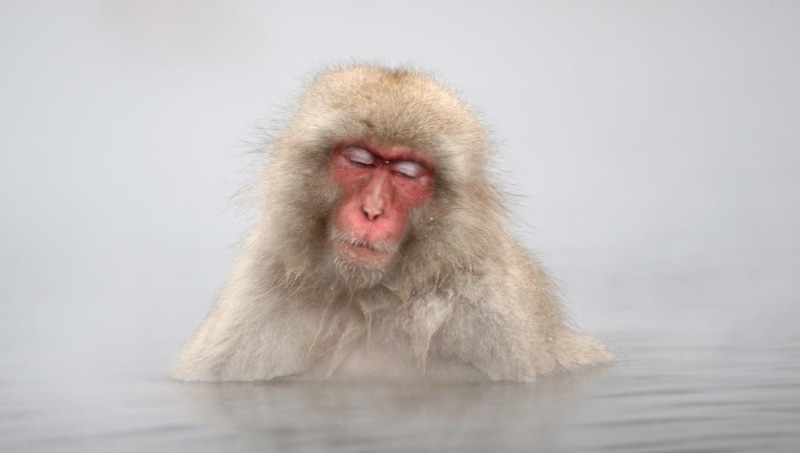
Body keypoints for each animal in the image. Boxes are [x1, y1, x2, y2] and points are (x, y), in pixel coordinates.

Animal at [172, 64, 613, 382]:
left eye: (406, 172)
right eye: (360, 159)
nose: (372, 211)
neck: (365, 300)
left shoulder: (498, 316)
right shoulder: (256, 294)